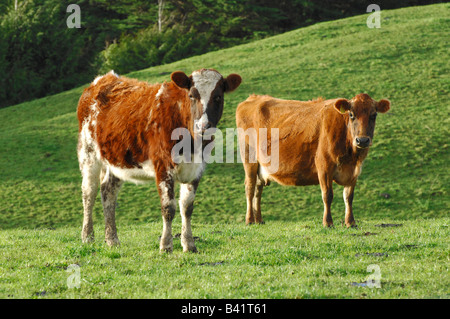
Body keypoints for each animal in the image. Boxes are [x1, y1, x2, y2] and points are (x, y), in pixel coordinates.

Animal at [76, 69, 243, 252]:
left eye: (218, 97)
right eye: (192, 95)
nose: (203, 126)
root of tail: (104, 78)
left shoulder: (196, 169)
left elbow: (187, 207)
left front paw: (189, 244)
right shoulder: (163, 167)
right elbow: (168, 208)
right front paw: (166, 245)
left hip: (117, 160)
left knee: (108, 192)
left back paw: (112, 239)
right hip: (88, 153)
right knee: (89, 193)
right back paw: (87, 237)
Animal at [236, 94, 390, 229]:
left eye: (374, 115)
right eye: (351, 115)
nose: (362, 140)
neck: (351, 156)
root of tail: (254, 98)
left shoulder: (354, 171)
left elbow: (349, 197)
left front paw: (350, 222)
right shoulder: (324, 165)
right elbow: (327, 195)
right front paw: (328, 222)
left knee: (258, 189)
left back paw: (259, 220)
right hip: (249, 158)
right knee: (250, 187)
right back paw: (250, 220)